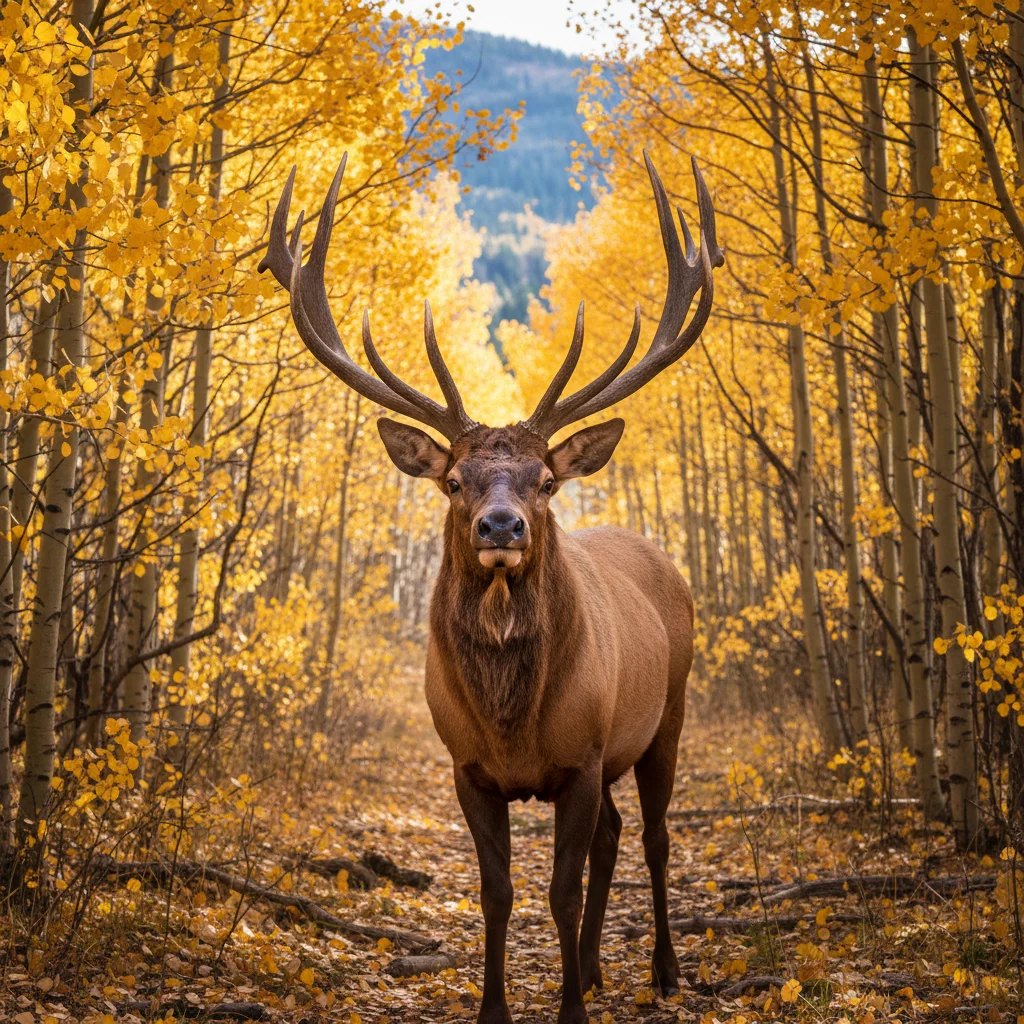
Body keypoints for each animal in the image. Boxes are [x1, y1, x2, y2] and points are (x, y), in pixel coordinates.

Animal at [259, 150, 722, 1024]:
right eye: (453, 481)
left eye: (544, 480)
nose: (500, 527)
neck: (514, 726)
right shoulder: (466, 767)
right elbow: (498, 895)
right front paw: (497, 1008)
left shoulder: (582, 757)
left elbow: (560, 892)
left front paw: (570, 1010)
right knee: (616, 834)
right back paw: (597, 969)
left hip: (669, 712)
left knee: (654, 837)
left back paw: (663, 971)